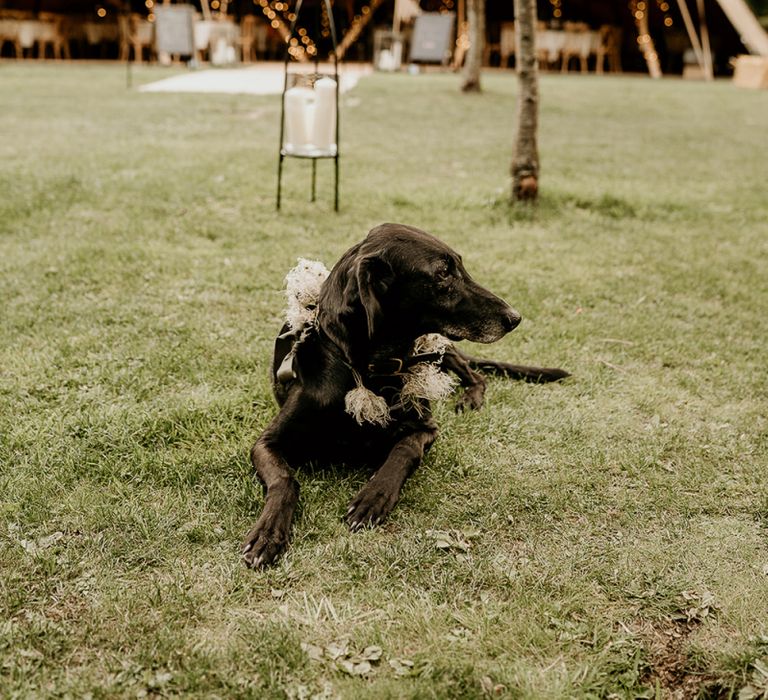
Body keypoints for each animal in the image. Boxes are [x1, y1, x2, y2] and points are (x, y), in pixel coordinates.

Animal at [243, 224, 568, 568]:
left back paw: (470, 398)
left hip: (440, 349)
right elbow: (285, 479)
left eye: (459, 265)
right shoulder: (265, 443)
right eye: (443, 273)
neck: (368, 369)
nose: (515, 317)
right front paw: (268, 531)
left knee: (475, 374)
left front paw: (374, 496)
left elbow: (403, 451)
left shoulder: (426, 428)